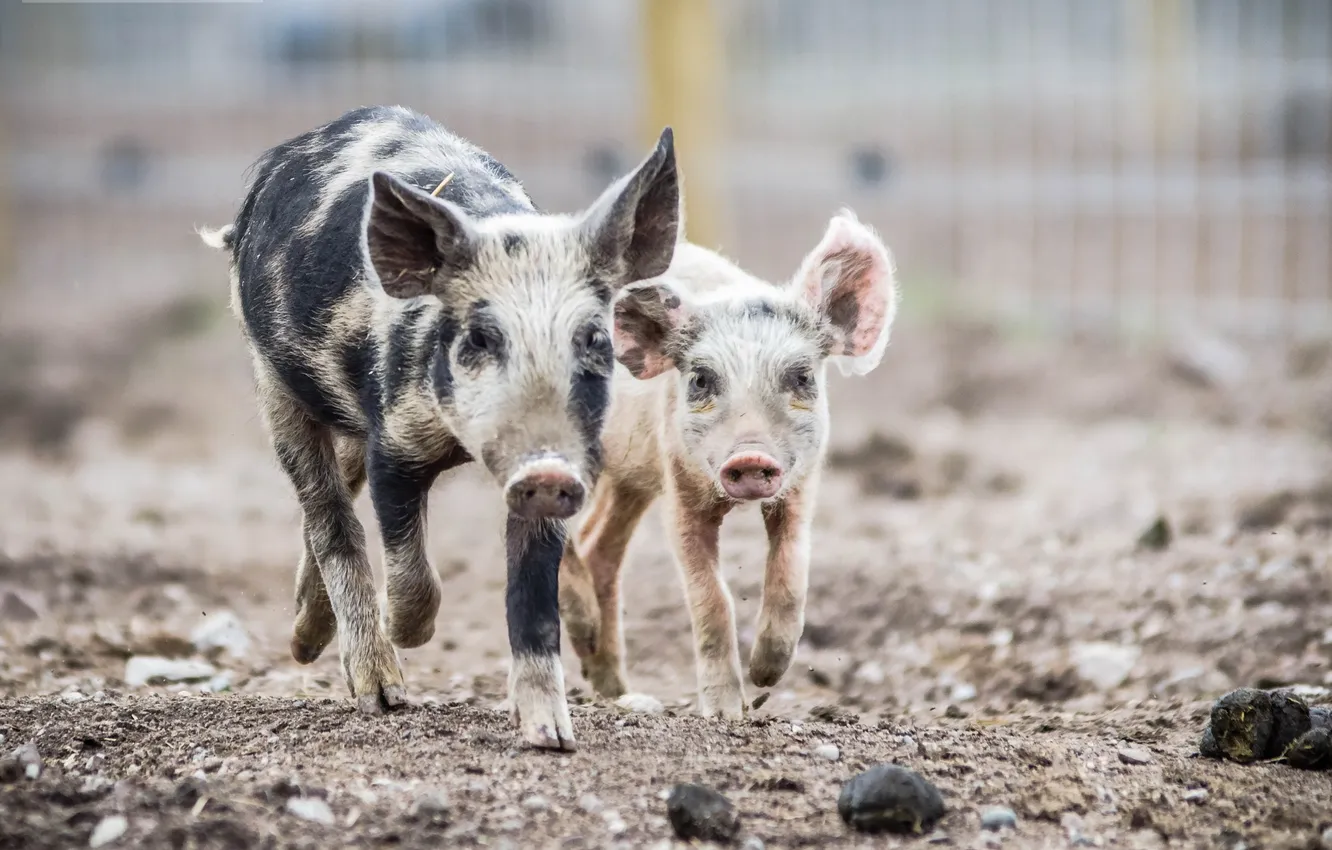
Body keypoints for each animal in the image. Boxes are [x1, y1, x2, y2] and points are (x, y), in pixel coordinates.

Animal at [198, 105, 680, 750]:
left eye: (594, 338)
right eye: (480, 338)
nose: (546, 470)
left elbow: (533, 604)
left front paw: (551, 737)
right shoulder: (393, 440)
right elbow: (410, 569)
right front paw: (406, 642)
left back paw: (306, 641)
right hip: (274, 383)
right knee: (328, 514)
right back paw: (370, 687)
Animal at [558, 210, 897, 718]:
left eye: (801, 376)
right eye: (701, 379)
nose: (750, 455)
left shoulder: (800, 486)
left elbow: (791, 571)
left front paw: (765, 677)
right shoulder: (678, 489)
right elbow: (711, 597)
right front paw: (725, 713)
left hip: (630, 476)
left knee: (597, 544)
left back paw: (620, 691)